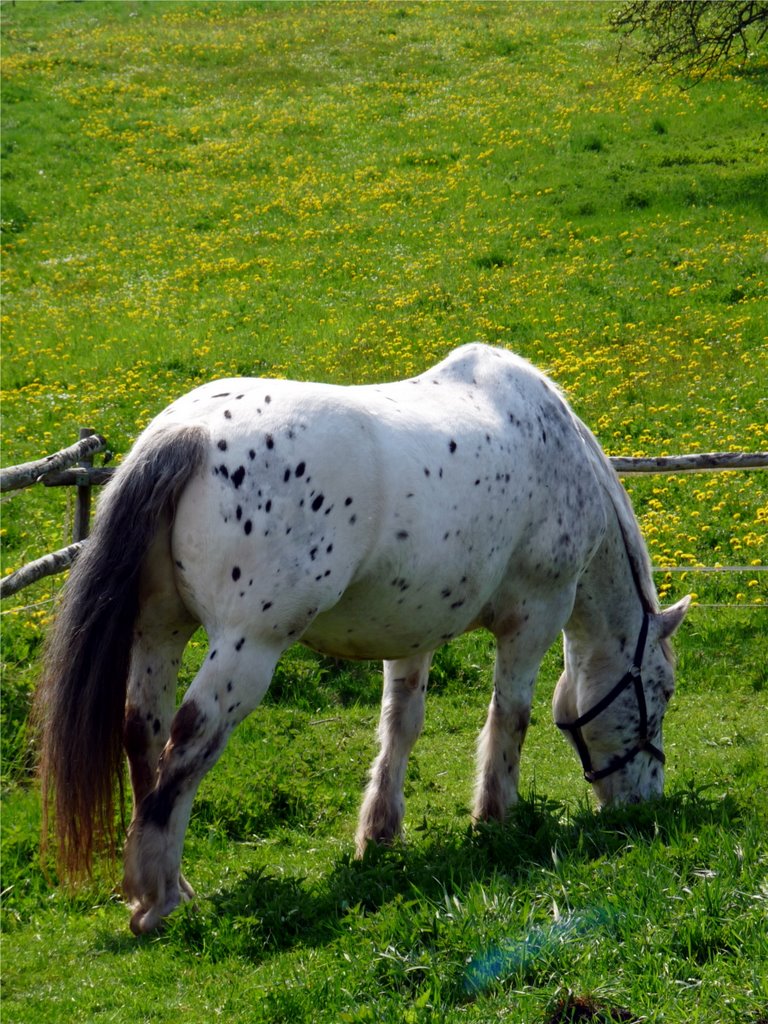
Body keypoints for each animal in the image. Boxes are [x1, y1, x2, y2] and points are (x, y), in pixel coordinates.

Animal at [36, 346, 692, 937]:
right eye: (661, 693)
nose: (647, 800)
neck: (554, 447)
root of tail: (187, 432)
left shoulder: (414, 630)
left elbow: (400, 725)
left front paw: (379, 834)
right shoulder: (534, 617)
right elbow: (510, 718)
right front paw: (495, 818)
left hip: (159, 632)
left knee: (142, 732)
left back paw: (164, 882)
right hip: (248, 646)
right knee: (189, 738)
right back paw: (159, 898)